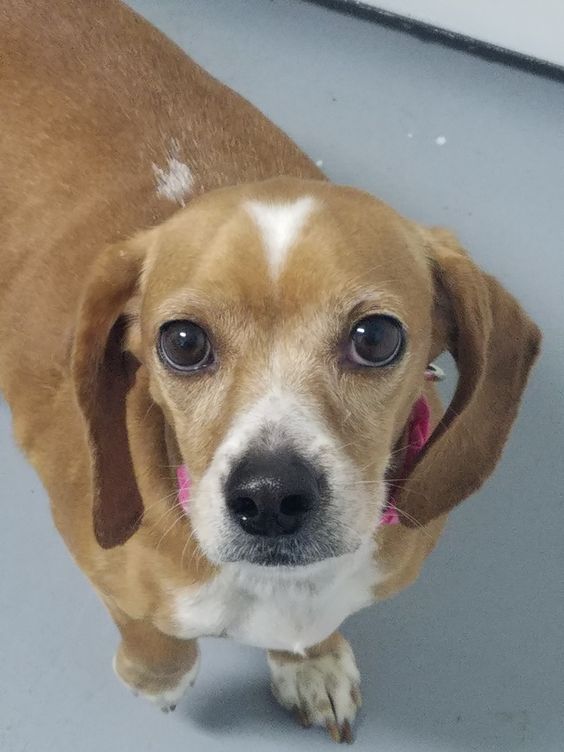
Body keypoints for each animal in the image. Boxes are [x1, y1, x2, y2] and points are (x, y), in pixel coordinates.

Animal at [0, 0, 540, 740]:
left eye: (376, 337)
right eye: (183, 342)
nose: (270, 497)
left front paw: (310, 662)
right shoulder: (98, 558)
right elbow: (152, 633)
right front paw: (157, 676)